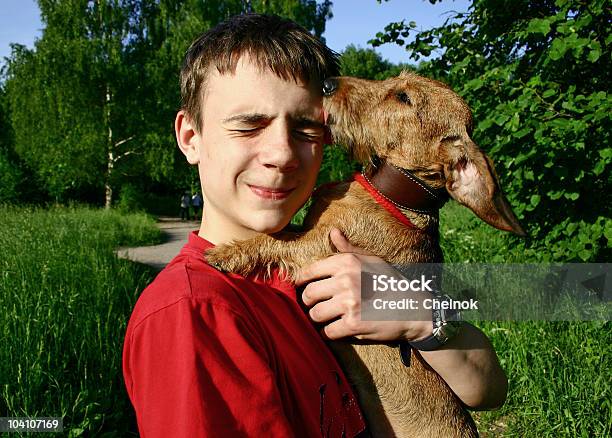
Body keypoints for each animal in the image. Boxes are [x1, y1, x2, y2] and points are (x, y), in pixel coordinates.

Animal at [204, 71, 520, 434]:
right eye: (396, 80)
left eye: (404, 98)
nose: (327, 84)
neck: (390, 194)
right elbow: (286, 229)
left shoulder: (317, 247)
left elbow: (276, 238)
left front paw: (226, 253)